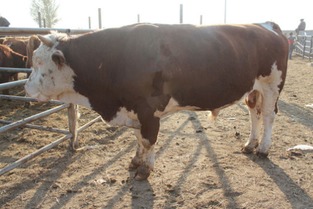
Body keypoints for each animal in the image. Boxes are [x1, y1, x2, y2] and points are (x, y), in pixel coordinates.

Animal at [24, 22, 288, 180]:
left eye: (39, 63)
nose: (26, 88)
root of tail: (267, 25)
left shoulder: (148, 110)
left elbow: (148, 140)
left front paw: (145, 169)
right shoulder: (132, 109)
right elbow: (137, 138)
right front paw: (135, 160)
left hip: (272, 84)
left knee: (268, 115)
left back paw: (263, 148)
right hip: (253, 89)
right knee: (254, 113)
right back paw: (250, 144)